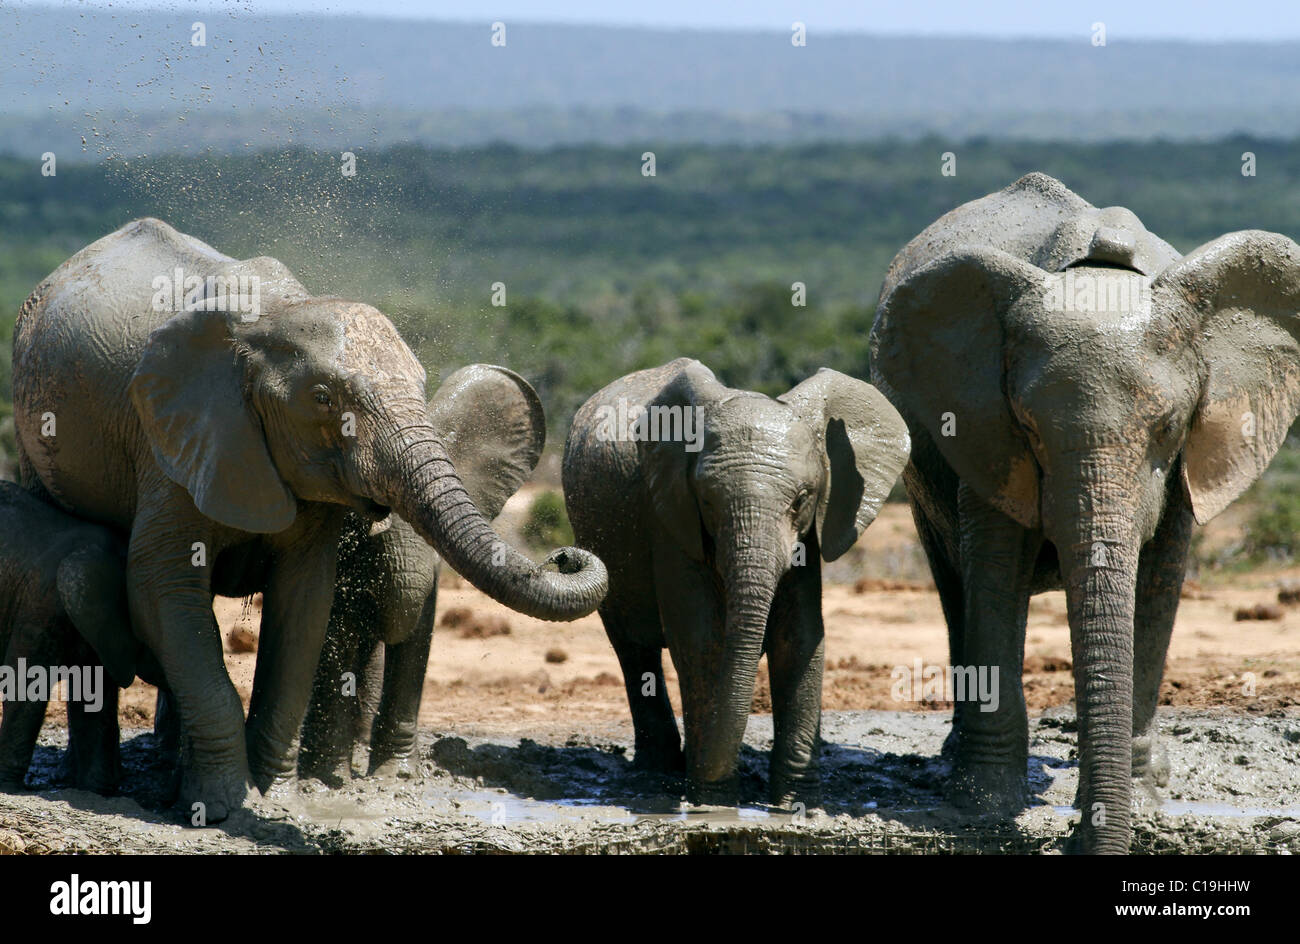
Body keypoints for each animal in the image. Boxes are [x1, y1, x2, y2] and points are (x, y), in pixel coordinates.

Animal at [562, 358, 910, 806]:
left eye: (801, 499)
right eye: (708, 501)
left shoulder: (808, 536)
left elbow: (799, 636)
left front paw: (796, 804)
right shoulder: (670, 516)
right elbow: (701, 637)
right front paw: (714, 801)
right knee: (634, 650)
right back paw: (659, 771)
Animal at [869, 171, 1300, 853]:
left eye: (1168, 426)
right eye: (1028, 428)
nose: (1074, 839)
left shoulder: (1187, 463)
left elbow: (1158, 581)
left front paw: (1143, 802)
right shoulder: (983, 426)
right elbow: (995, 572)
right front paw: (983, 808)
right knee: (951, 583)